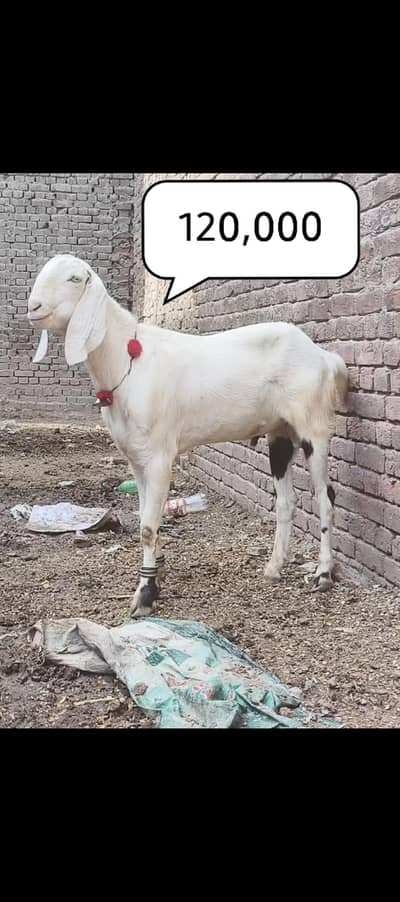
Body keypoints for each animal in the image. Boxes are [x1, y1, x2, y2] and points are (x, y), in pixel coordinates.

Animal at [27, 254, 349, 617]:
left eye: (73, 278)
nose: (33, 307)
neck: (129, 361)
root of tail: (324, 357)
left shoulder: (159, 455)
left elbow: (147, 527)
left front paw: (145, 595)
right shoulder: (135, 457)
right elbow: (146, 519)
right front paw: (155, 577)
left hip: (313, 427)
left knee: (326, 498)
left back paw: (323, 574)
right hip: (280, 432)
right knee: (287, 500)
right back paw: (274, 567)